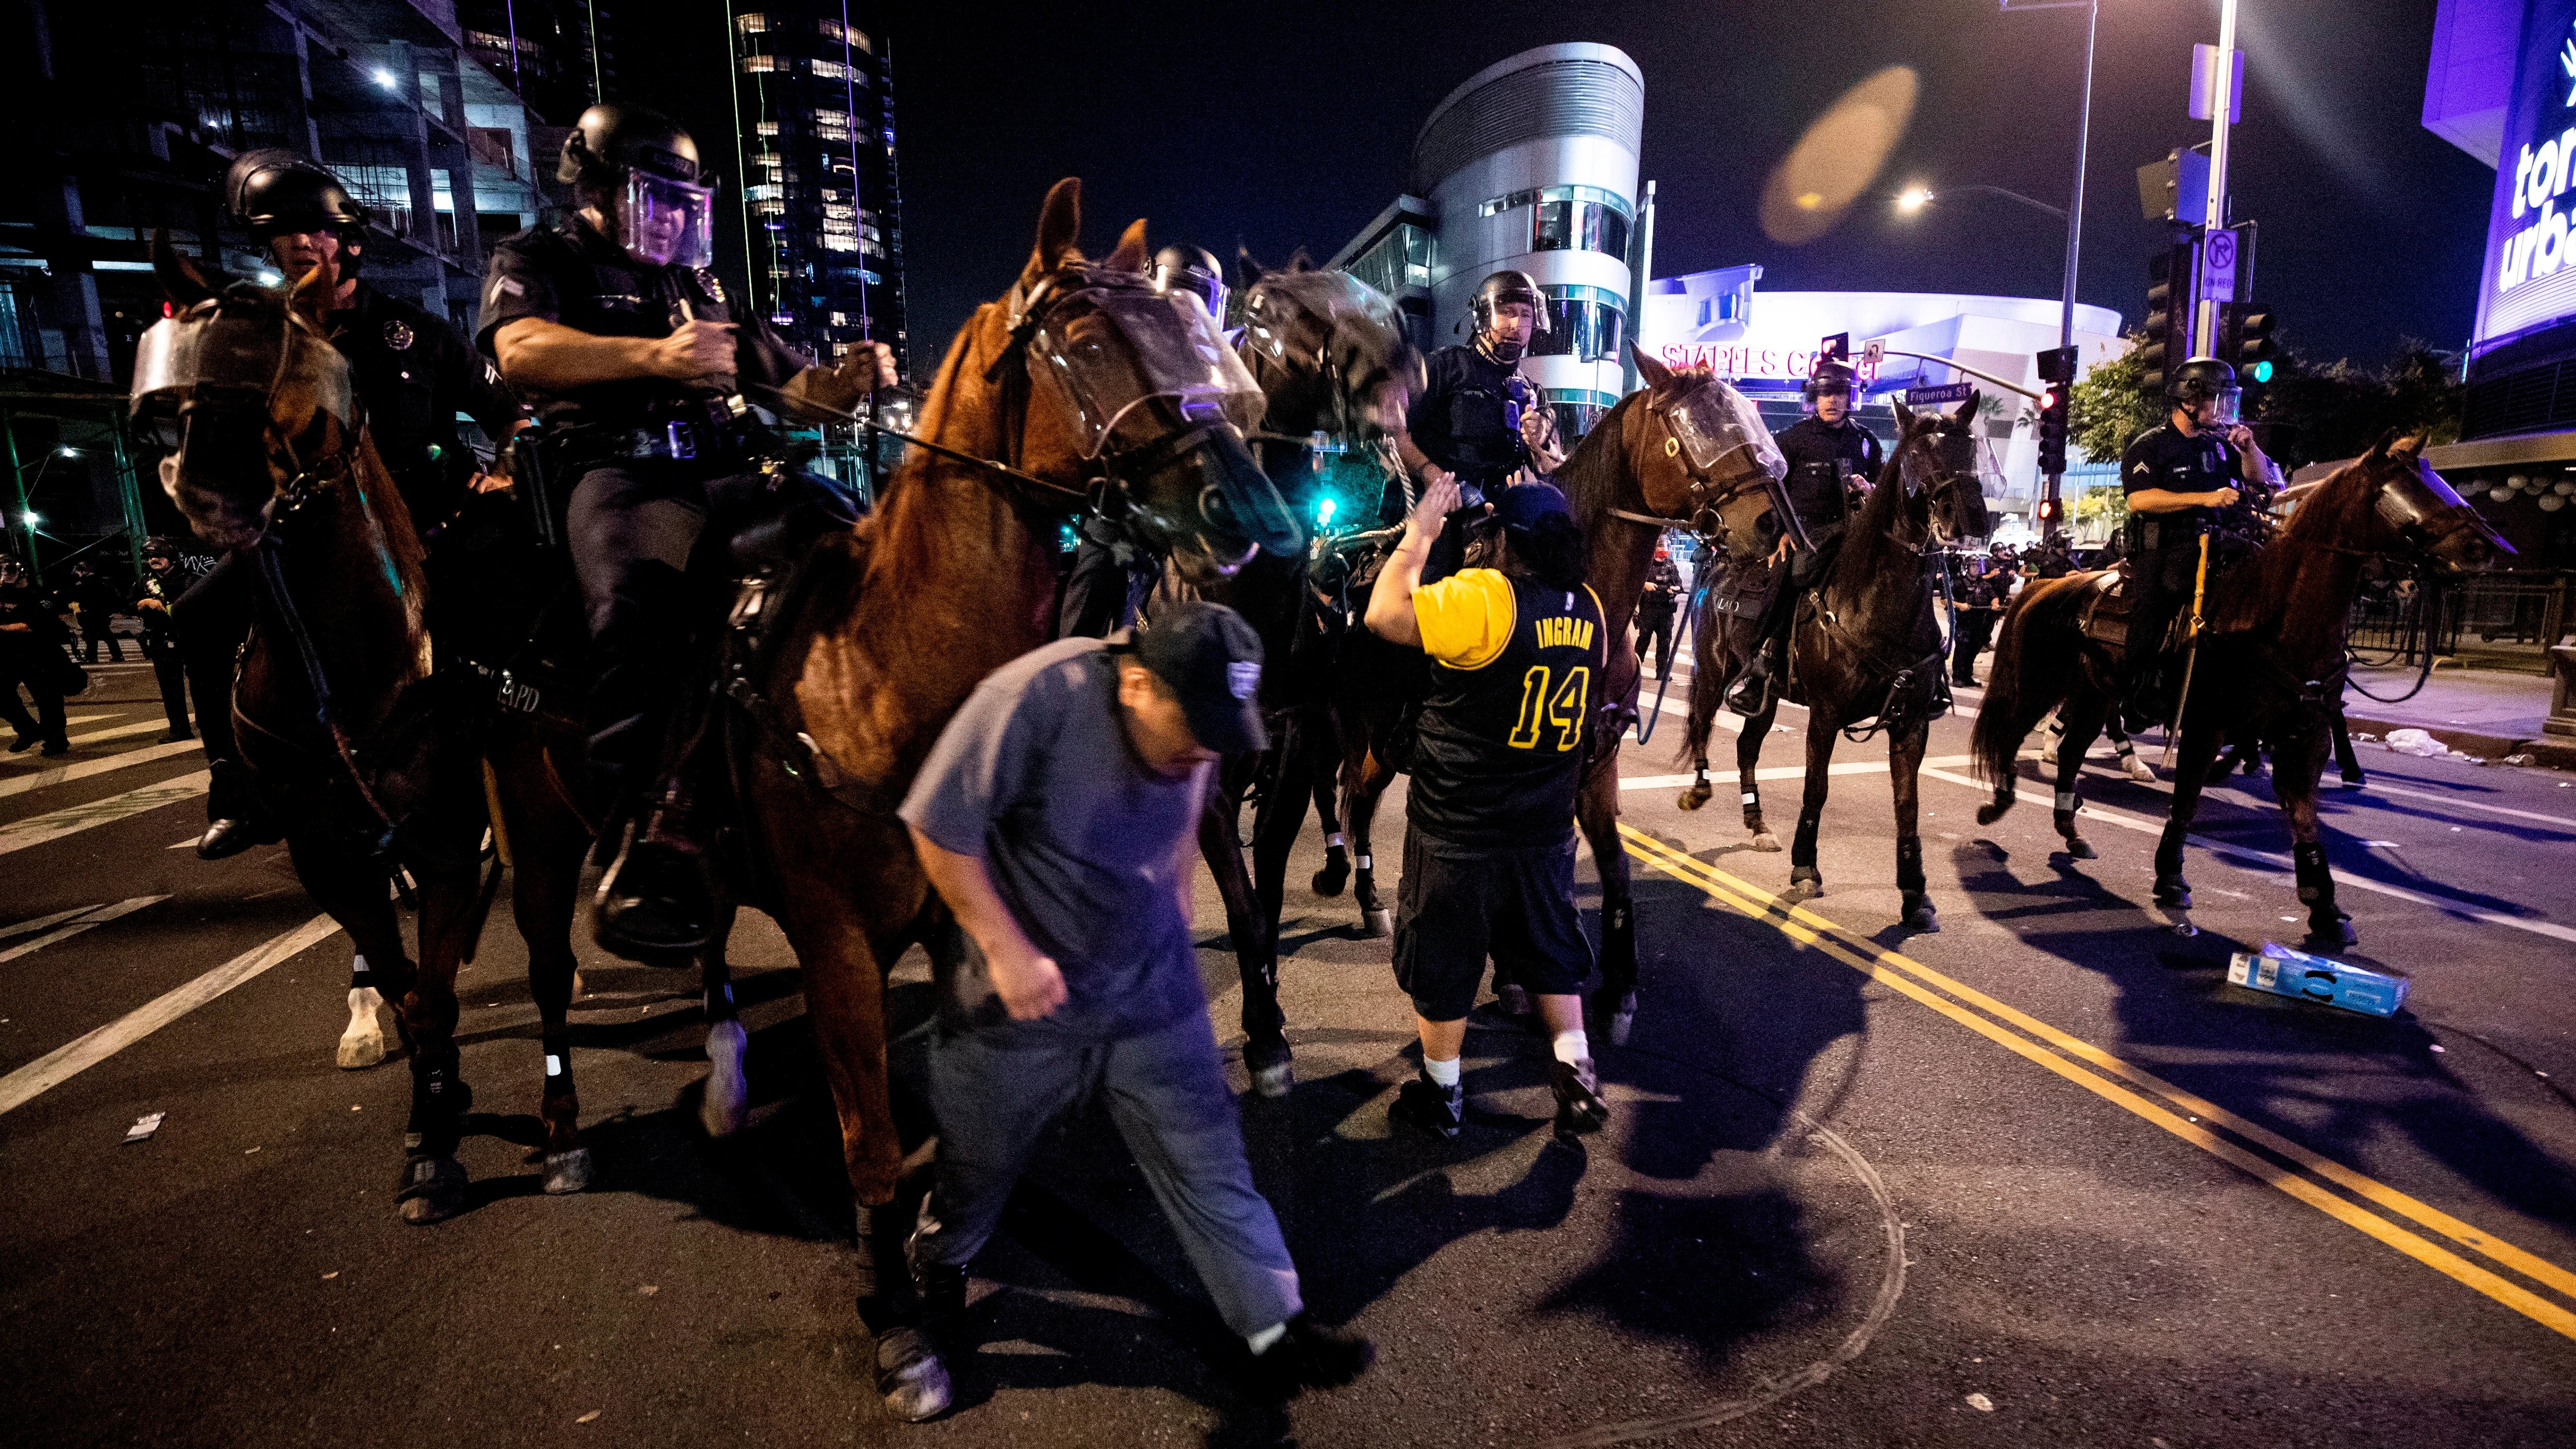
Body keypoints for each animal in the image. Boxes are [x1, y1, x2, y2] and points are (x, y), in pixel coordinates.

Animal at [1669, 391, 1989, 931]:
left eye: (1971, 450)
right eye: (1919, 454)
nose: (1968, 519)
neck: (1876, 605)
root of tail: (1719, 564)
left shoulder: (1912, 724)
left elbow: (1908, 804)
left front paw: (1915, 892)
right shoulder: (1825, 714)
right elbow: (1815, 788)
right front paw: (1805, 868)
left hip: (1767, 696)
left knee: (1747, 746)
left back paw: (1757, 823)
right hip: (1713, 674)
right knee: (1701, 725)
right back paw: (1698, 791)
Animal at [1978, 437, 2504, 947]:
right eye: (2408, 488)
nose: (2488, 547)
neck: (2276, 620)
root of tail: (2048, 585)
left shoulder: (2306, 736)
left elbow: (2304, 816)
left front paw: (2324, 906)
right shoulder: (2206, 726)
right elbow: (2187, 800)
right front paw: (2171, 875)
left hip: (2095, 694)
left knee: (2071, 751)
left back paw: (2071, 829)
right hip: (2041, 684)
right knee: (2012, 734)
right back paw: (1999, 802)